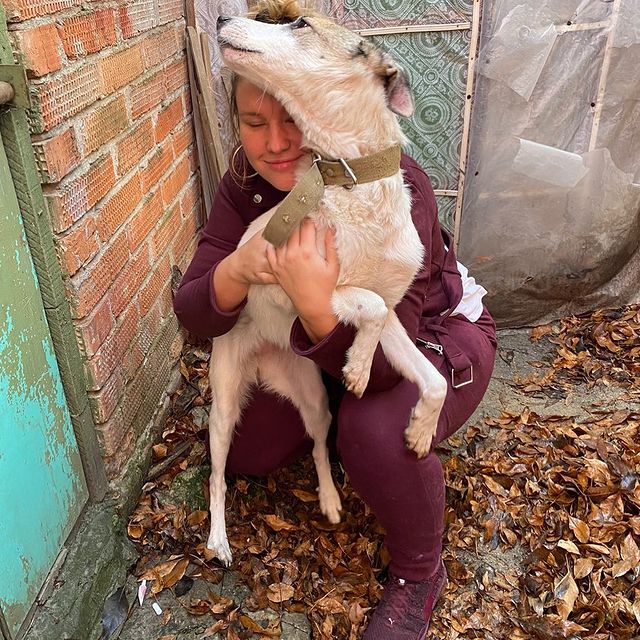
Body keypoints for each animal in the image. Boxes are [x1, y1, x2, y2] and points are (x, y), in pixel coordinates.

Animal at [208, 11, 448, 564]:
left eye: (299, 22)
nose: (222, 16)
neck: (355, 183)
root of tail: (266, 358)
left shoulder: (396, 317)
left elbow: (434, 379)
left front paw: (419, 429)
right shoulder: (292, 288)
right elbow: (370, 303)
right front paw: (358, 366)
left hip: (316, 400)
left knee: (319, 445)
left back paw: (331, 498)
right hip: (223, 407)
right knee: (217, 477)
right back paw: (218, 540)